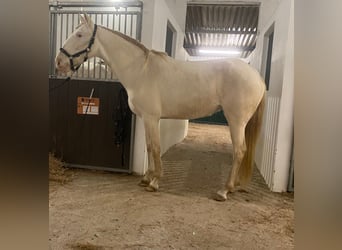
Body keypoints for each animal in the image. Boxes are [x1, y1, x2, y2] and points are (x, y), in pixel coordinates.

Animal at [55, 14, 264, 201]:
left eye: (79, 35)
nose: (59, 62)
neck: (141, 71)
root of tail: (257, 77)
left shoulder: (151, 118)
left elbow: (155, 147)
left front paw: (155, 182)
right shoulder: (146, 119)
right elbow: (149, 147)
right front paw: (146, 179)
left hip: (236, 121)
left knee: (239, 151)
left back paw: (224, 190)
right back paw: (233, 186)